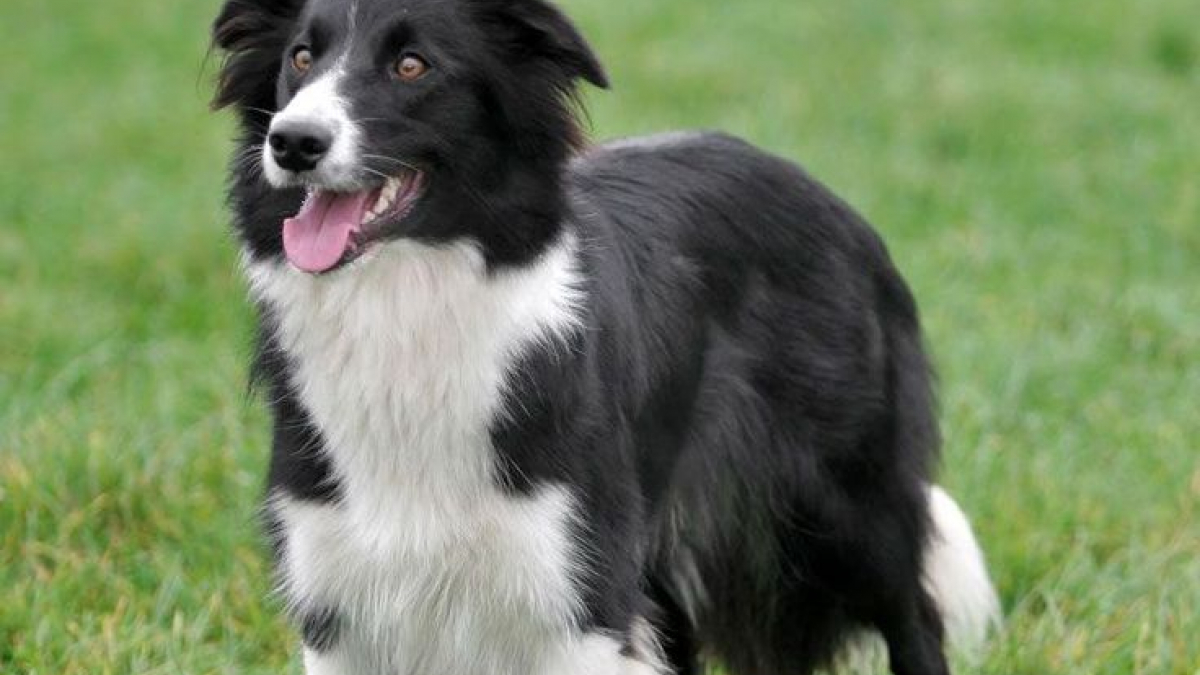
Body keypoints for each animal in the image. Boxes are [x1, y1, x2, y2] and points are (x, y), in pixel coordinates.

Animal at [211, 1, 998, 672]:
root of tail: (831, 200)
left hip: (843, 500)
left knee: (914, 614)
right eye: (301, 57)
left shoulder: (575, 598)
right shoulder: (338, 595)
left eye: (413, 65)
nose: (293, 142)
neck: (405, 309)